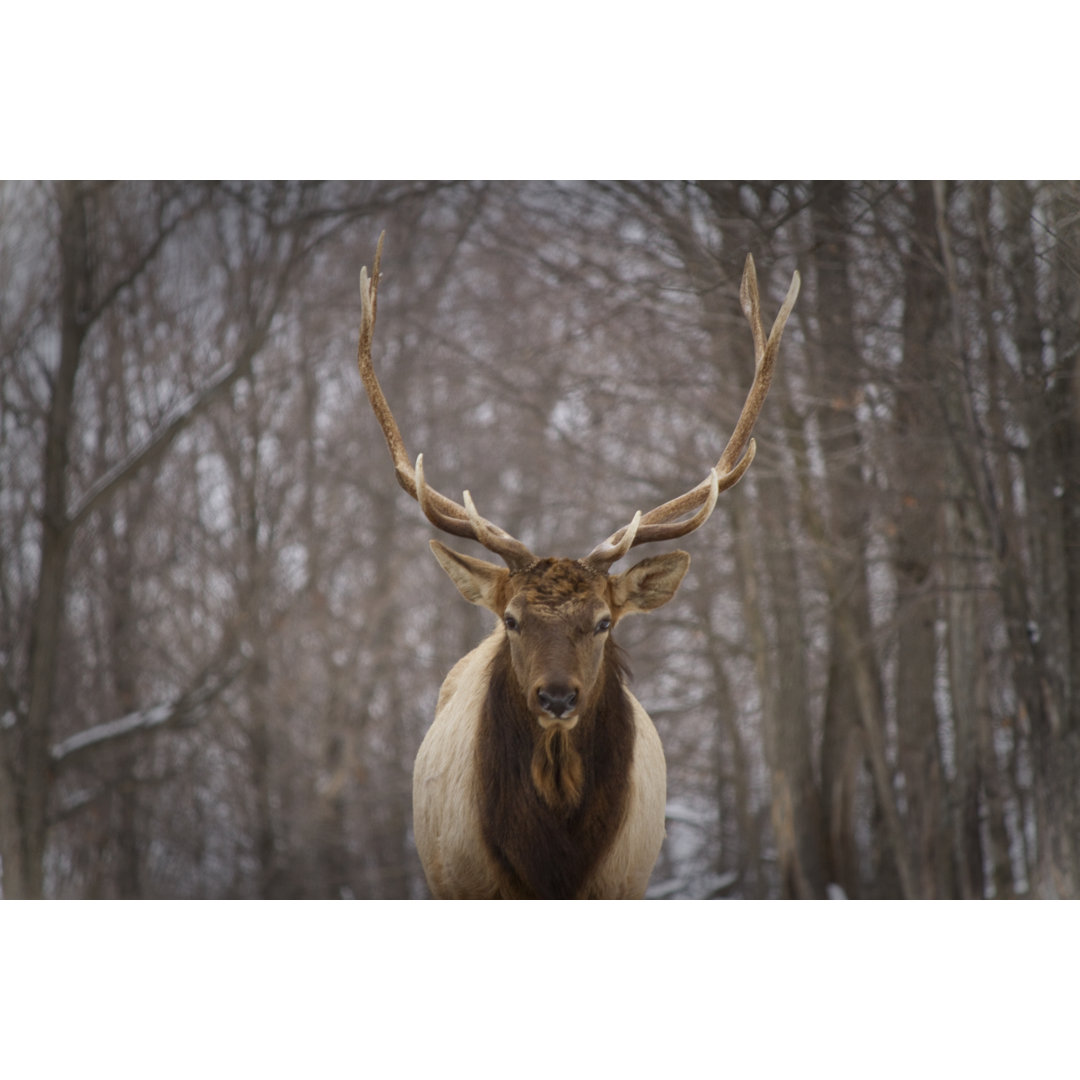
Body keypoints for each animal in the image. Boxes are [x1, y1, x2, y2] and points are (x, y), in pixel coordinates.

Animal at [358, 236, 799, 902]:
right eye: (512, 620)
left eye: (603, 623)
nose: (558, 695)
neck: (553, 864)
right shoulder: (467, 882)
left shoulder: (623, 883)